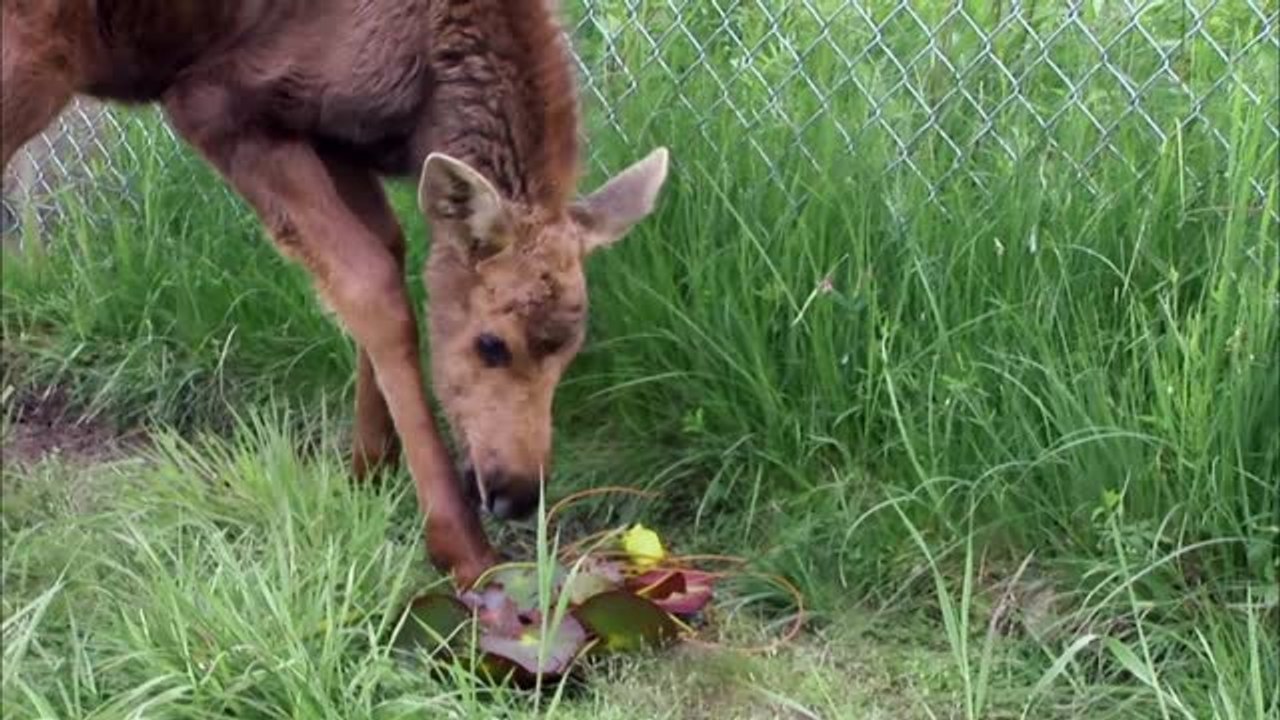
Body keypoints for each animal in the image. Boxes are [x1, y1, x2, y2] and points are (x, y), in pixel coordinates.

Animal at [1, 0, 670, 589]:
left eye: (571, 351)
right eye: (491, 344)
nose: (517, 494)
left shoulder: (331, 132)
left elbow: (388, 252)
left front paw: (369, 470)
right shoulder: (218, 104)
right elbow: (371, 285)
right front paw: (459, 545)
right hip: (37, 60)